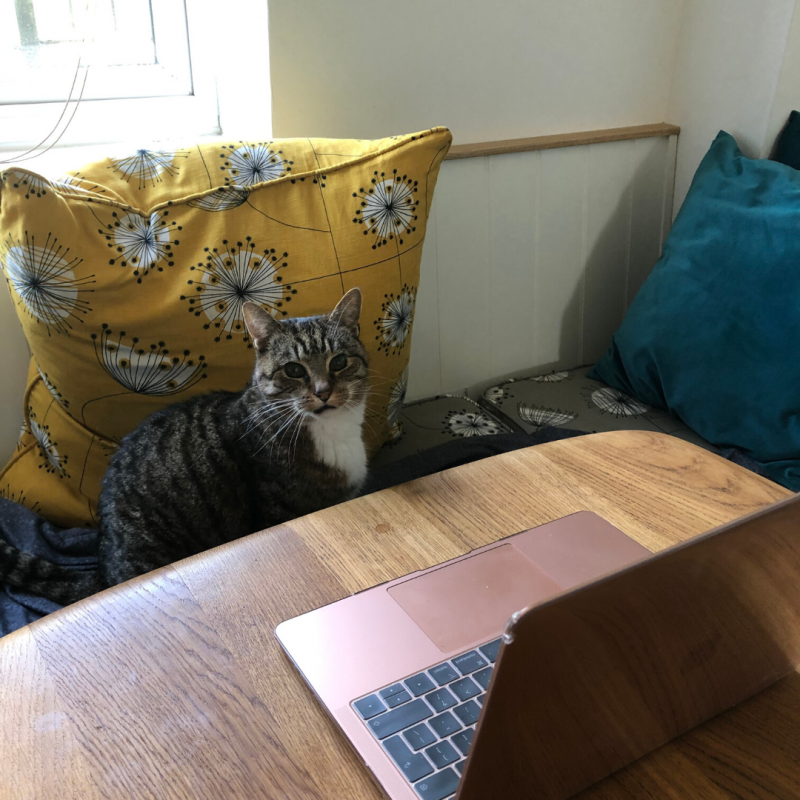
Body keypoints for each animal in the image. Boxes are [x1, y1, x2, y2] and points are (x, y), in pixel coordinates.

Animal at [0, 288, 368, 608]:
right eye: (293, 369)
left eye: (339, 362)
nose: (323, 392)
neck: (331, 432)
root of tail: (103, 572)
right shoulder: (279, 511)